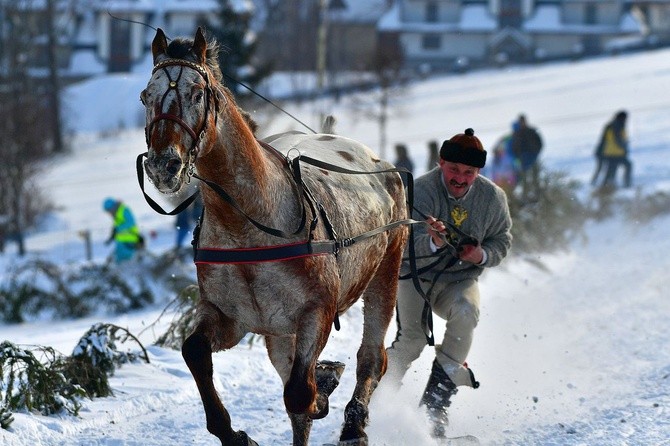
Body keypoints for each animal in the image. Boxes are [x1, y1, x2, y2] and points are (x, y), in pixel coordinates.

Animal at [142, 28, 410, 446]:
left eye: (197, 94)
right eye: (145, 96)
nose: (162, 165)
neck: (248, 227)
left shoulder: (316, 310)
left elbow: (300, 392)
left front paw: (323, 388)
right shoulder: (230, 315)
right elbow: (194, 351)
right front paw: (233, 433)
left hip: (386, 267)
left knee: (372, 357)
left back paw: (353, 422)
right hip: (278, 331)